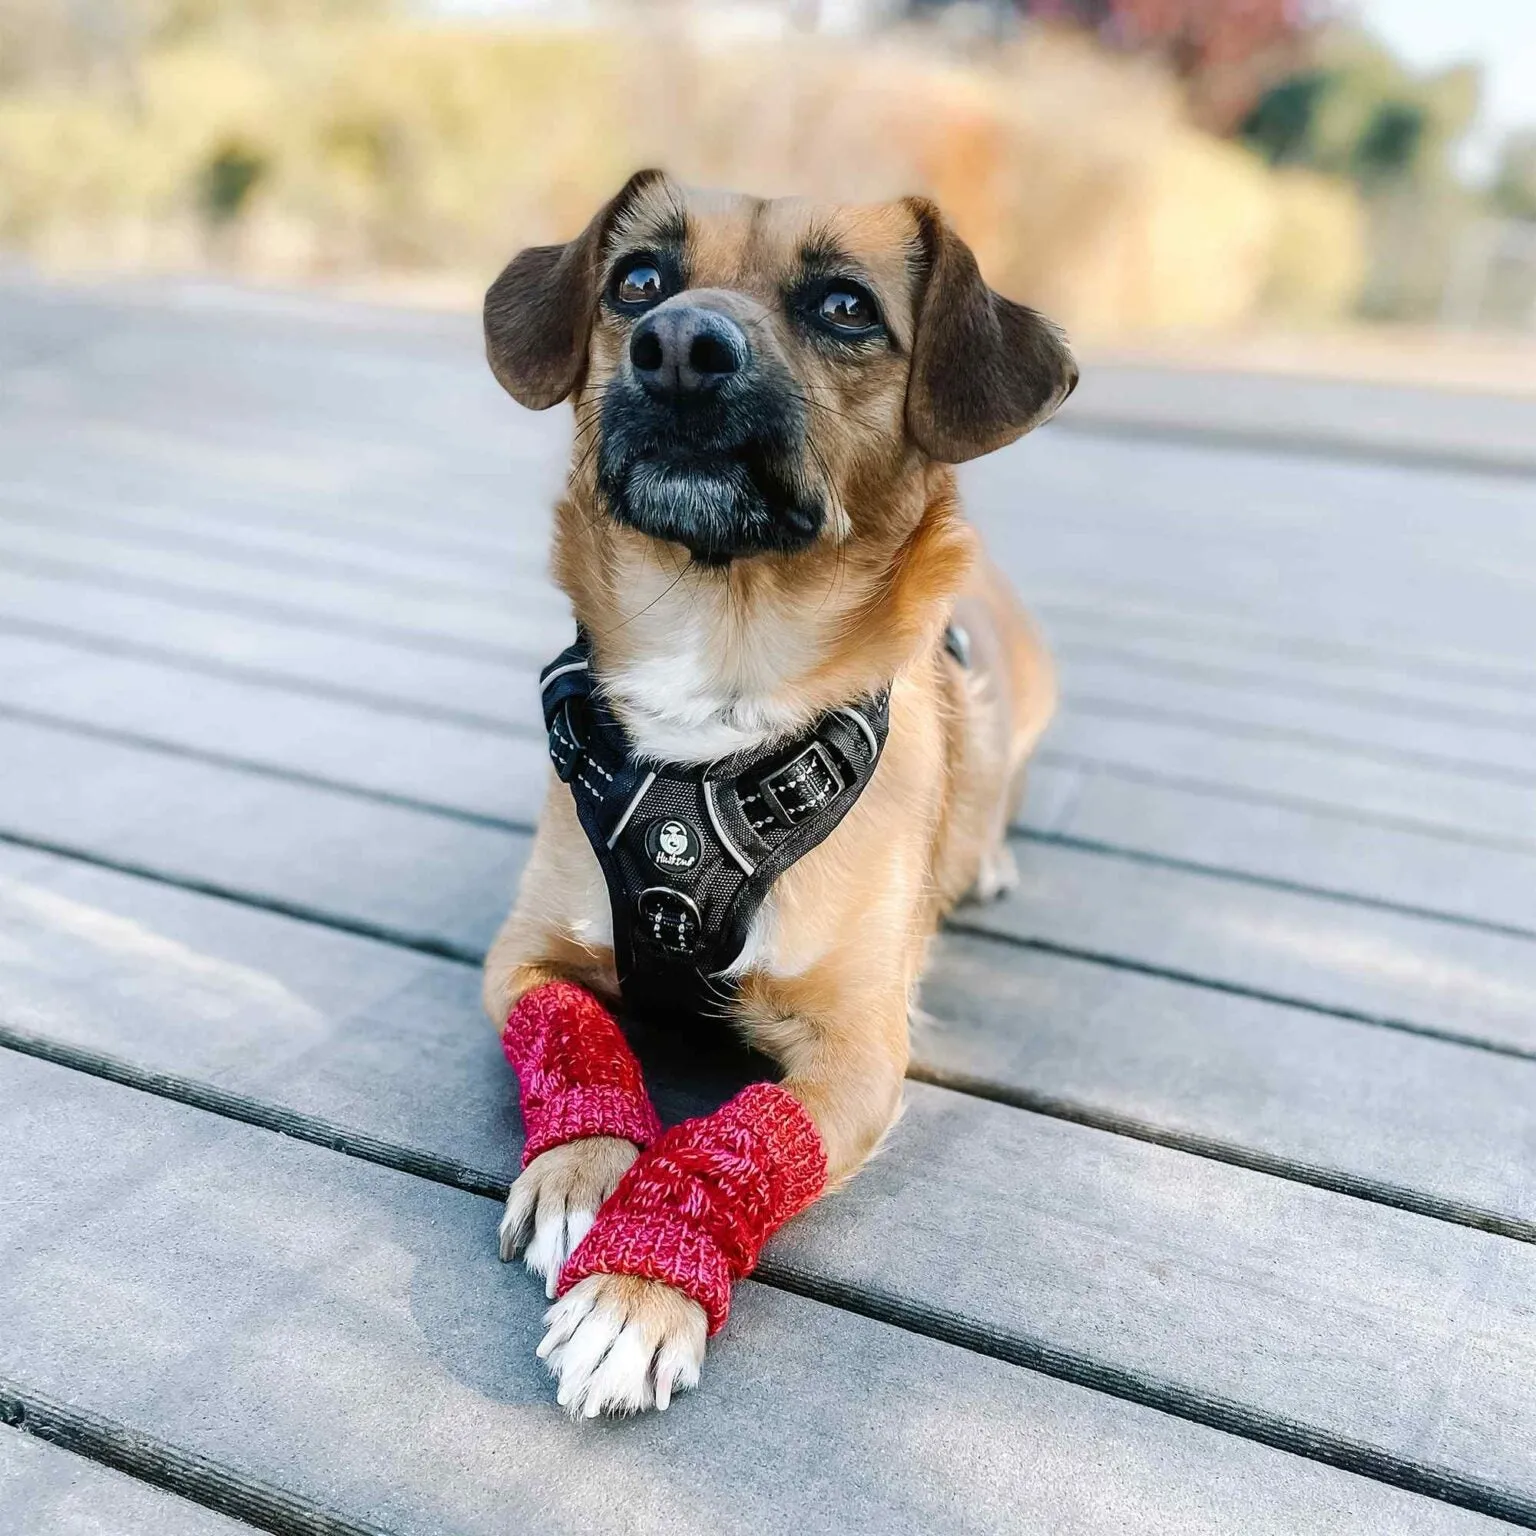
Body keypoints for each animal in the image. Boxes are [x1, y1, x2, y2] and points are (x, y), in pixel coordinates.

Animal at [476, 168, 1069, 1413]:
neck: (723, 666)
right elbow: (573, 1033)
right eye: (636, 280)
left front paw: (641, 1283)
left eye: (846, 307)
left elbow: (747, 1133)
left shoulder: (859, 1053)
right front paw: (584, 1168)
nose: (677, 346)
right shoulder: (522, 956)